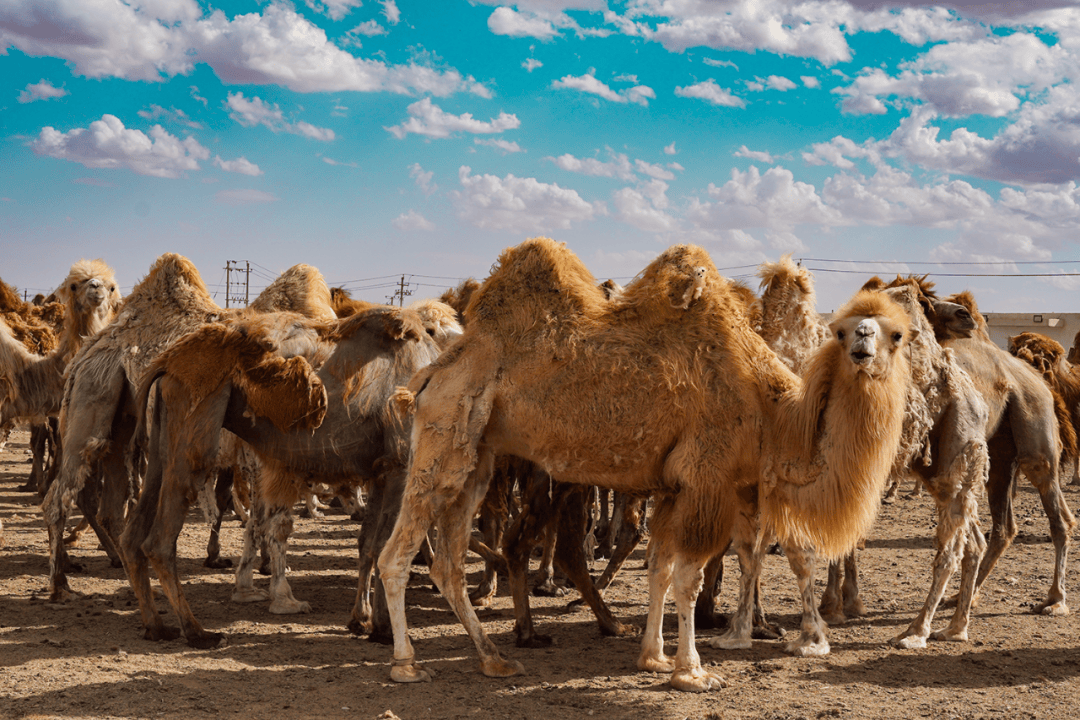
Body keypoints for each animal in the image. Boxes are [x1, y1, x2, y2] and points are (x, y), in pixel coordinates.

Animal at [125, 304, 442, 647]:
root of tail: (166, 362)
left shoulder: (380, 470)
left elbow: (369, 543)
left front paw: (361, 620)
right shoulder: (400, 463)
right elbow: (390, 548)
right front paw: (383, 630)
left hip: (162, 440)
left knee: (133, 534)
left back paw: (156, 626)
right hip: (194, 426)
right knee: (159, 540)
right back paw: (197, 631)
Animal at [375, 240, 915, 690]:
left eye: (898, 334)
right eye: (841, 331)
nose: (862, 344)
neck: (772, 410)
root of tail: (430, 374)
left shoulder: (675, 487)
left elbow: (660, 568)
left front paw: (653, 657)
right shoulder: (707, 477)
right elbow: (688, 578)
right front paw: (691, 672)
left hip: (477, 456)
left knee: (447, 562)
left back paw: (494, 658)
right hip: (446, 435)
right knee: (396, 555)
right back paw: (406, 663)